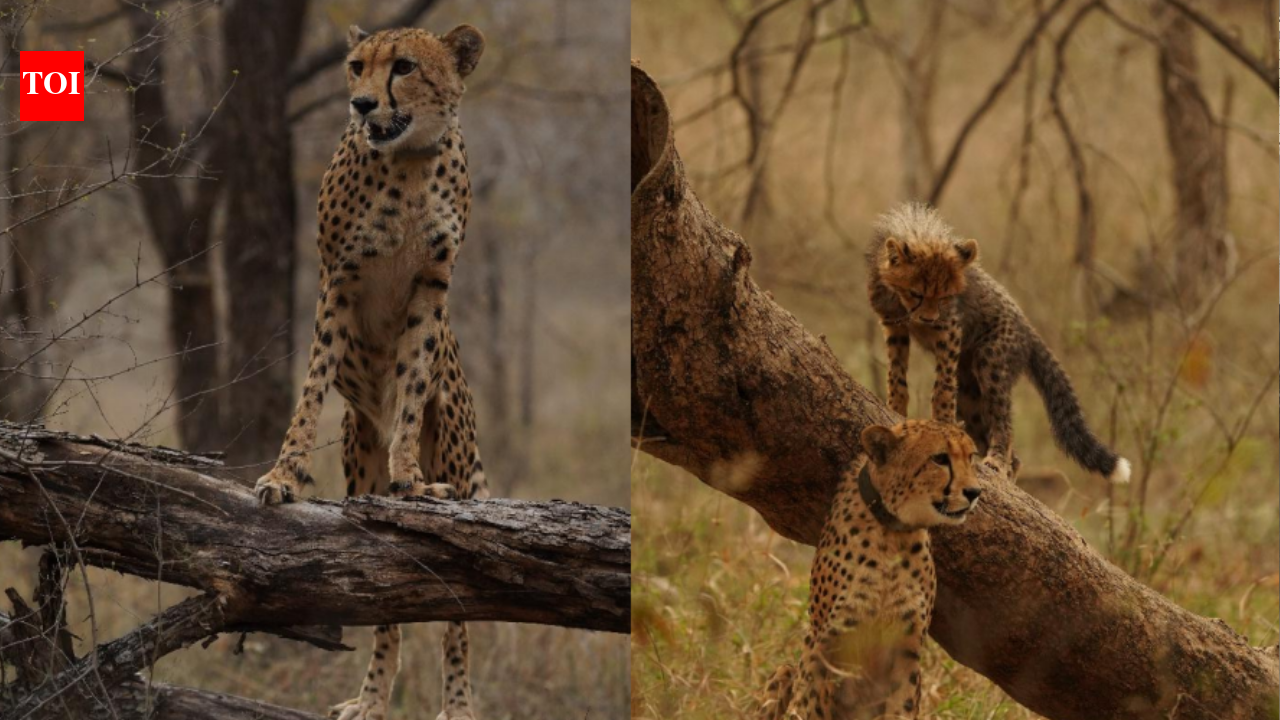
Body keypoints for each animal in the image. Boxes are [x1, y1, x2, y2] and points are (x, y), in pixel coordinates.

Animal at [250, 23, 490, 720]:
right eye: (356, 66)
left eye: (404, 67)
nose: (360, 105)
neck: (407, 161)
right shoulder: (340, 281)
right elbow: (310, 389)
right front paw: (283, 476)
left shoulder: (430, 288)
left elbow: (409, 385)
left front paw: (409, 478)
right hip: (359, 452)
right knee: (386, 609)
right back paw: (372, 698)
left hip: (457, 449)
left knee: (457, 617)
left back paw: (458, 702)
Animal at [758, 420, 982, 720]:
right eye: (940, 459)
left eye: (971, 457)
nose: (974, 492)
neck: (893, 532)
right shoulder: (825, 644)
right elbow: (811, 701)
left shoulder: (905, 649)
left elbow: (902, 704)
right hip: (786, 670)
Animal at [867, 201, 1130, 484]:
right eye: (916, 293)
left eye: (946, 296)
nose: (928, 319)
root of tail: (1028, 328)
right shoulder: (893, 325)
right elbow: (896, 374)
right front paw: (895, 408)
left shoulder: (949, 330)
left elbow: (943, 385)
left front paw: (943, 421)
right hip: (969, 394)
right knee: (1010, 452)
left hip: (991, 362)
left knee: (1004, 423)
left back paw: (996, 461)